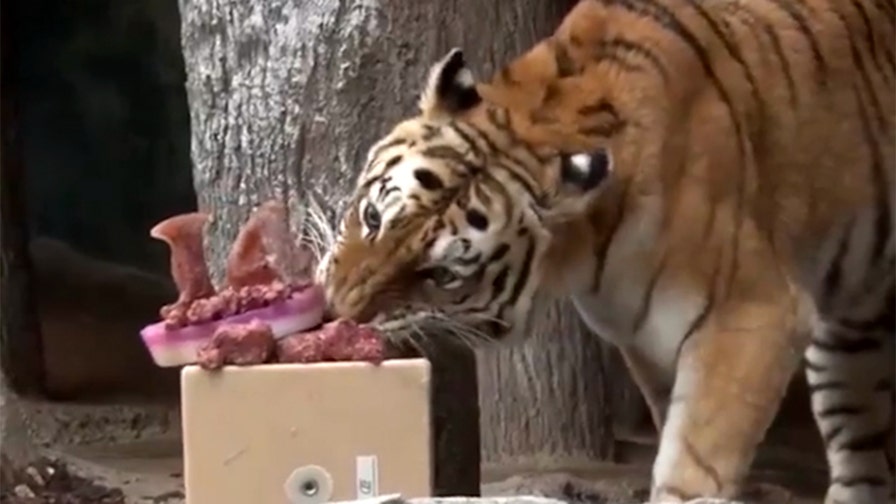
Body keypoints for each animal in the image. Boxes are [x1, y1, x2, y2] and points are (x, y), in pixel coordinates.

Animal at [314, 0, 895, 502]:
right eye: (373, 218)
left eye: (440, 274)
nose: (341, 309)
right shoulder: (649, 343)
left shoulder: (755, 313)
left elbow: (694, 462)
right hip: (851, 333)